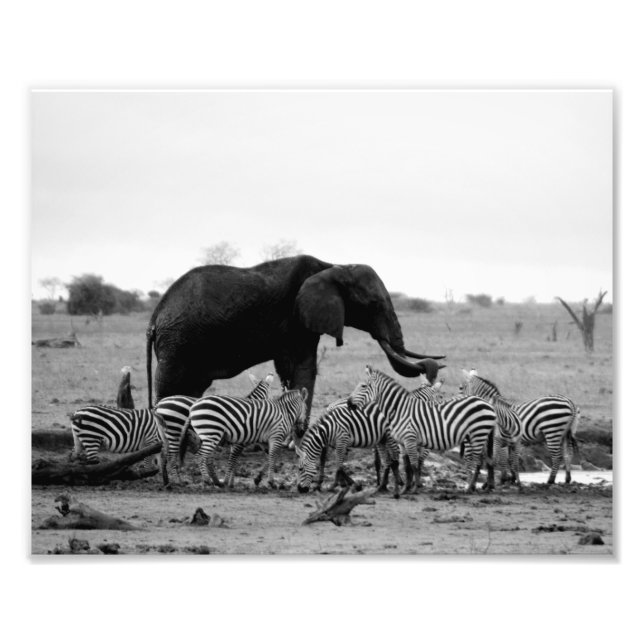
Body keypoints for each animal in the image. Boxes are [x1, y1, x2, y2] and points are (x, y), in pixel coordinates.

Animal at [146, 254, 444, 423]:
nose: (434, 367)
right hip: (178, 342)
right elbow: (301, 368)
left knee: (191, 387)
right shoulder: (295, 318)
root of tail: (155, 315)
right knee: (172, 385)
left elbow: (298, 369)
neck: (334, 266)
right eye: (372, 305)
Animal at [179, 387, 308, 488]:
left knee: (207, 457)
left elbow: (268, 458)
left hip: (208, 435)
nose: (301, 431)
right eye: (306, 409)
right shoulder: (276, 436)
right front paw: (271, 482)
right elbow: (273, 458)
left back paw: (215, 481)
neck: (285, 412)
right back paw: (207, 480)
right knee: (200, 455)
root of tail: (192, 407)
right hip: (212, 432)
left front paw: (258, 479)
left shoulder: (264, 441)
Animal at [348, 366, 496, 494]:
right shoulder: (403, 443)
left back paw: (469, 488)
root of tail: (487, 403)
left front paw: (414, 488)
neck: (400, 410)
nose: (349, 403)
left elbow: (415, 464)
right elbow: (407, 466)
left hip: (478, 434)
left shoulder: (411, 439)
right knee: (481, 460)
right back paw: (475, 487)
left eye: (363, 386)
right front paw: (405, 489)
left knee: (475, 460)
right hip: (476, 436)